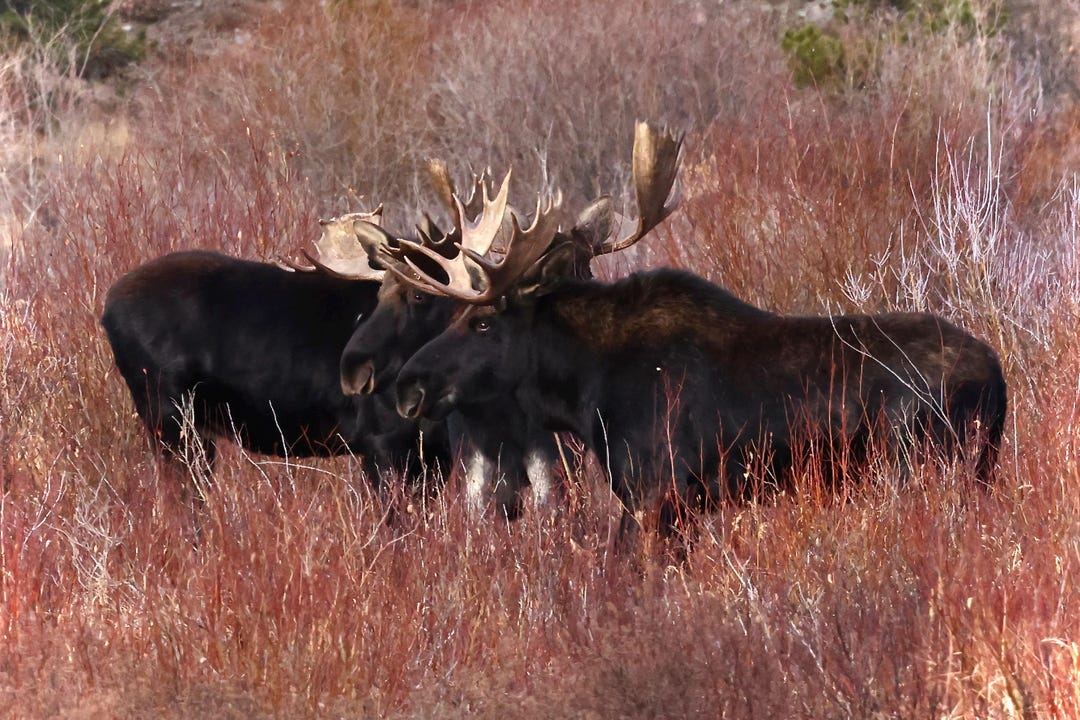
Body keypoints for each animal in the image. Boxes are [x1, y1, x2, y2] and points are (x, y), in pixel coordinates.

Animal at [381, 122, 1008, 534]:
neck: (582, 391)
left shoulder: (657, 494)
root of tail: (999, 381)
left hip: (920, 470)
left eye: (483, 321)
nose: (407, 387)